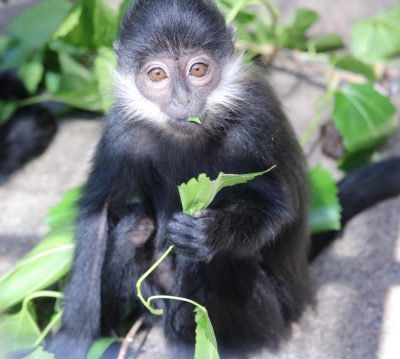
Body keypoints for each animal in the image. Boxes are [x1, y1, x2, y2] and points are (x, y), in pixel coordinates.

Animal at [47, 0, 400, 359]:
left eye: (198, 70)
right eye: (157, 74)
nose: (183, 100)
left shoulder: (252, 124)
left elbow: (277, 210)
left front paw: (209, 233)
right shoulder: (122, 131)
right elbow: (98, 212)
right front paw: (73, 338)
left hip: (270, 319)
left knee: (215, 262)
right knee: (135, 226)